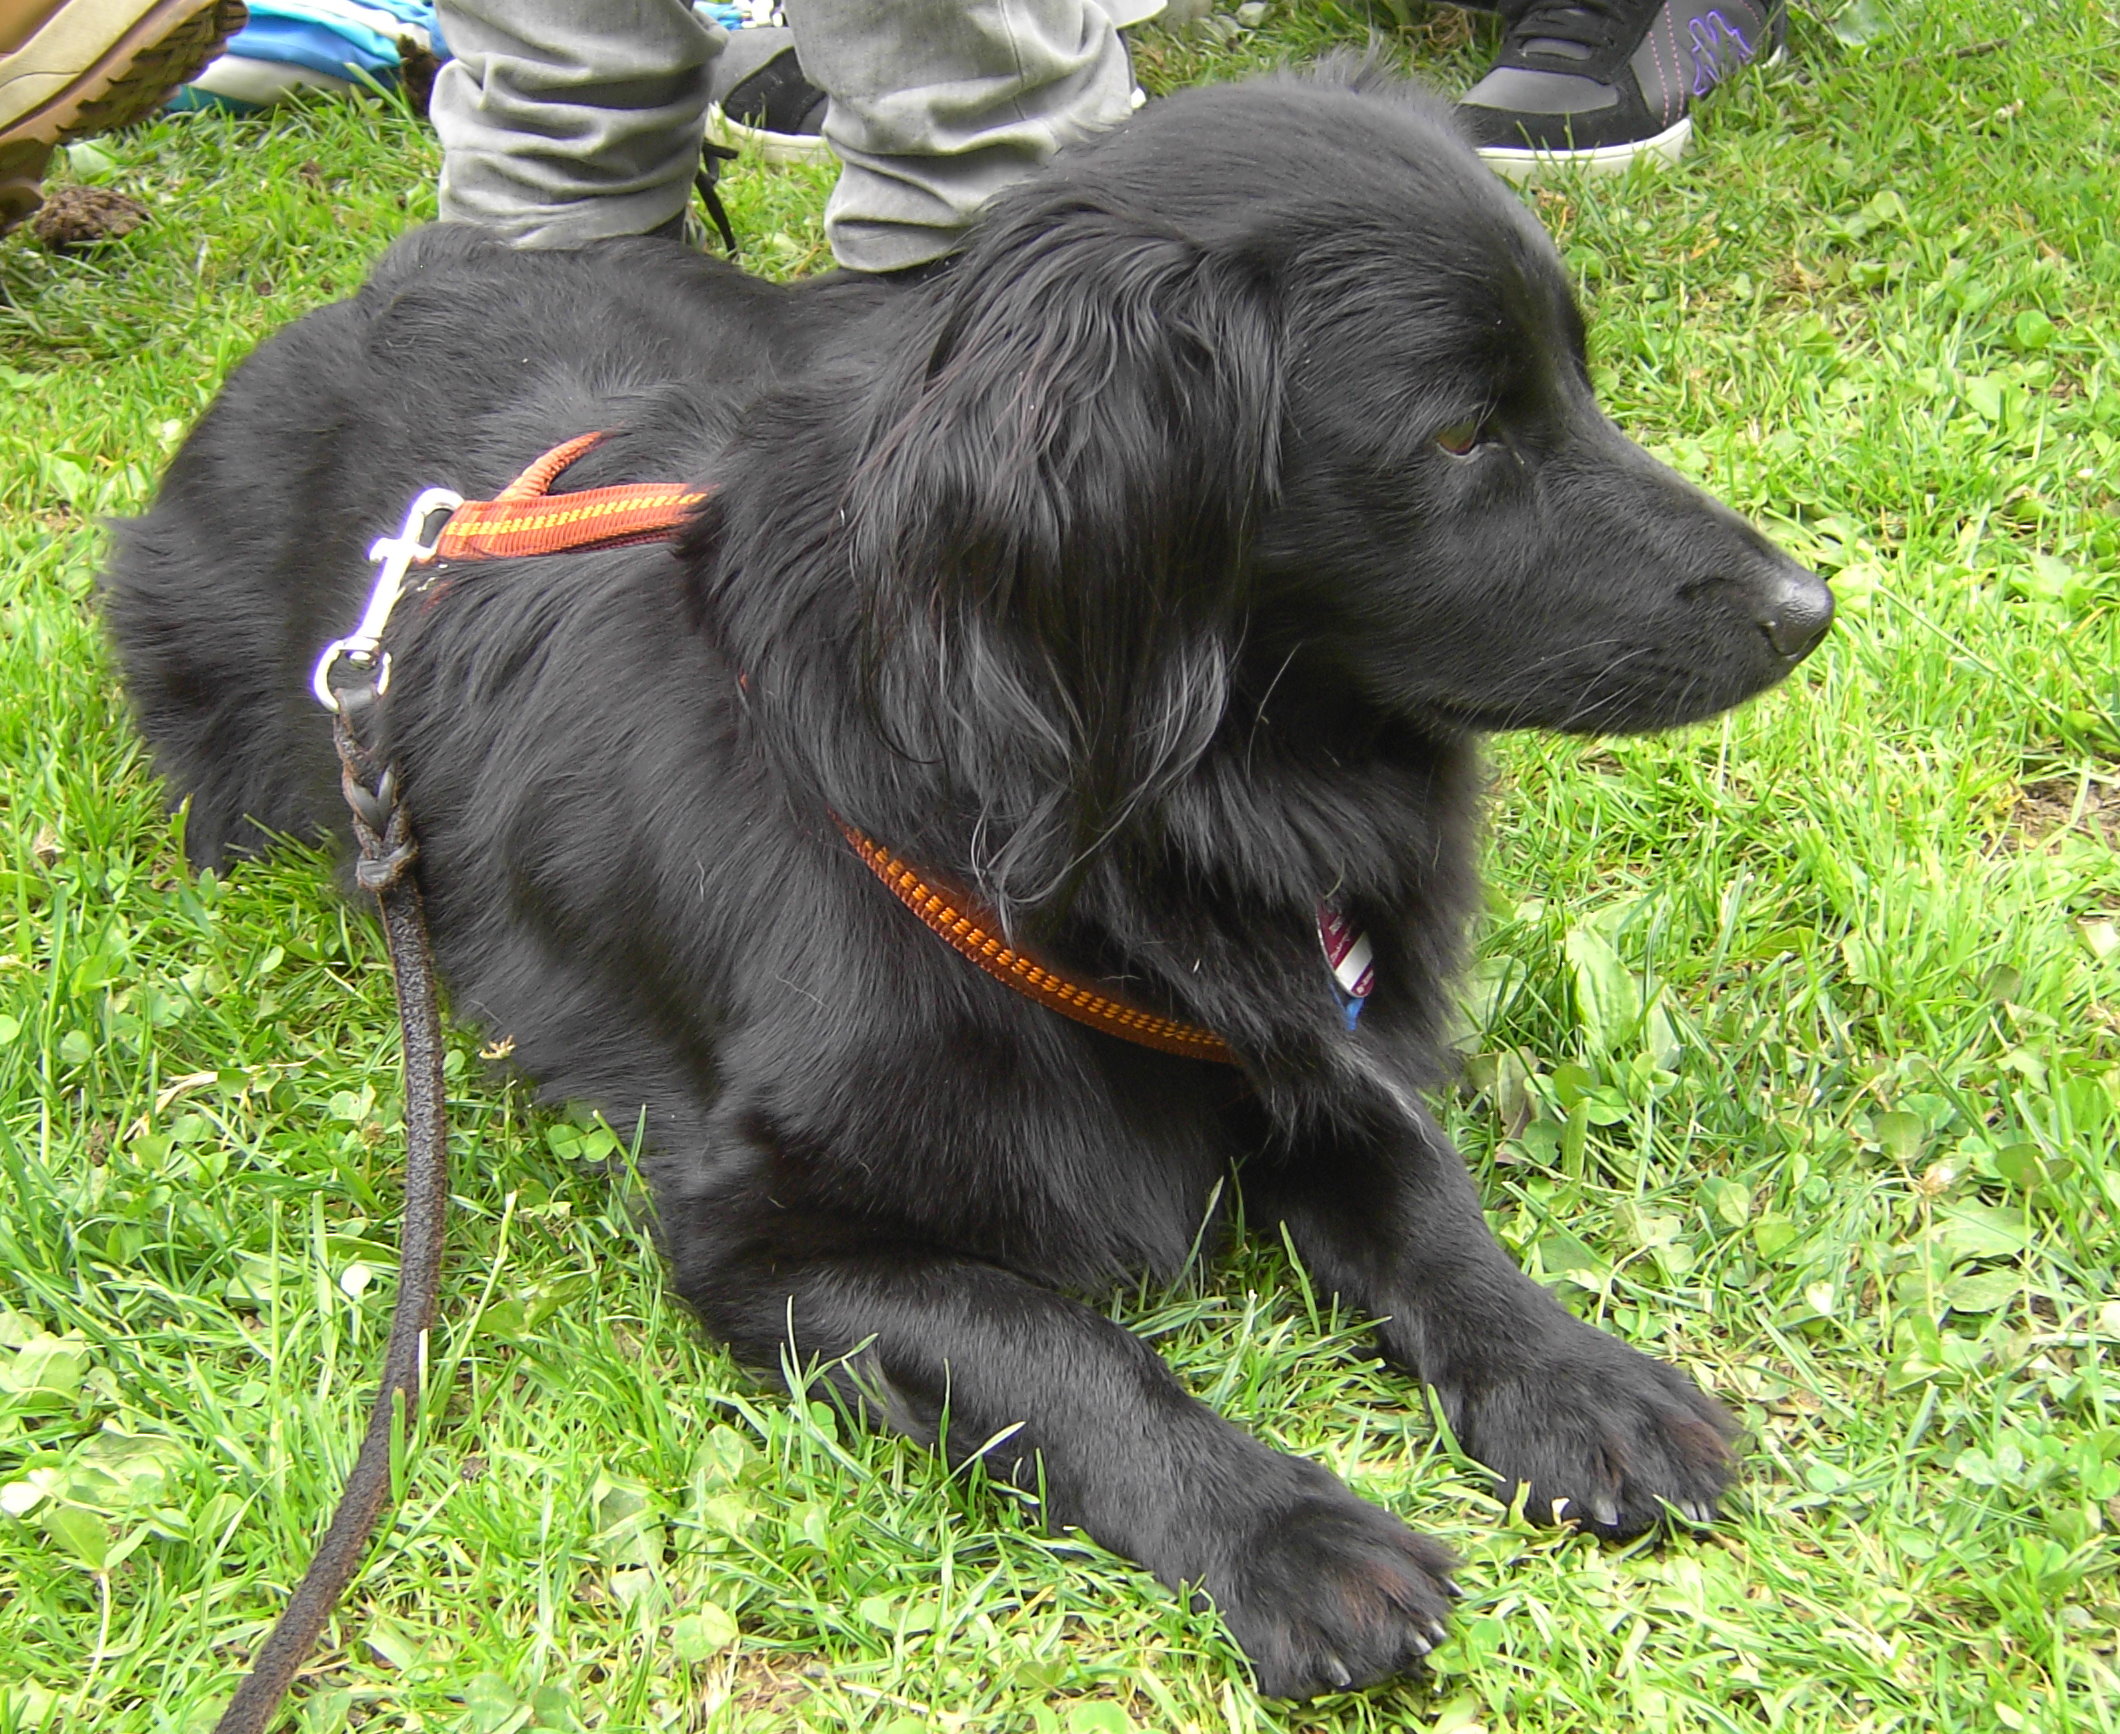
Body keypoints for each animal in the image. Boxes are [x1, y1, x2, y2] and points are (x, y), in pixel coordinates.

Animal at [99, 64, 1831, 1687]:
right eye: (1463, 433)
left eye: (1578, 381)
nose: (1808, 607)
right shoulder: (761, 1234)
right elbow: (1056, 1343)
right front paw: (1284, 1530)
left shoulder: (1305, 1043)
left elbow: (1427, 1202)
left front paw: (1574, 1377)